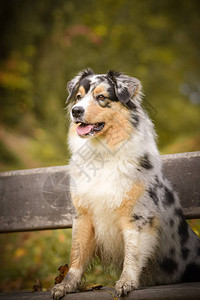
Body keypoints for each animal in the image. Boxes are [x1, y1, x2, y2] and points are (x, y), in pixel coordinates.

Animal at [51, 69, 200, 298]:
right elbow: (77, 254)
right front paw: (66, 286)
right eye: (78, 97)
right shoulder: (84, 214)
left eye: (101, 97)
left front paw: (126, 282)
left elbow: (133, 253)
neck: (102, 154)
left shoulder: (137, 215)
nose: (76, 111)